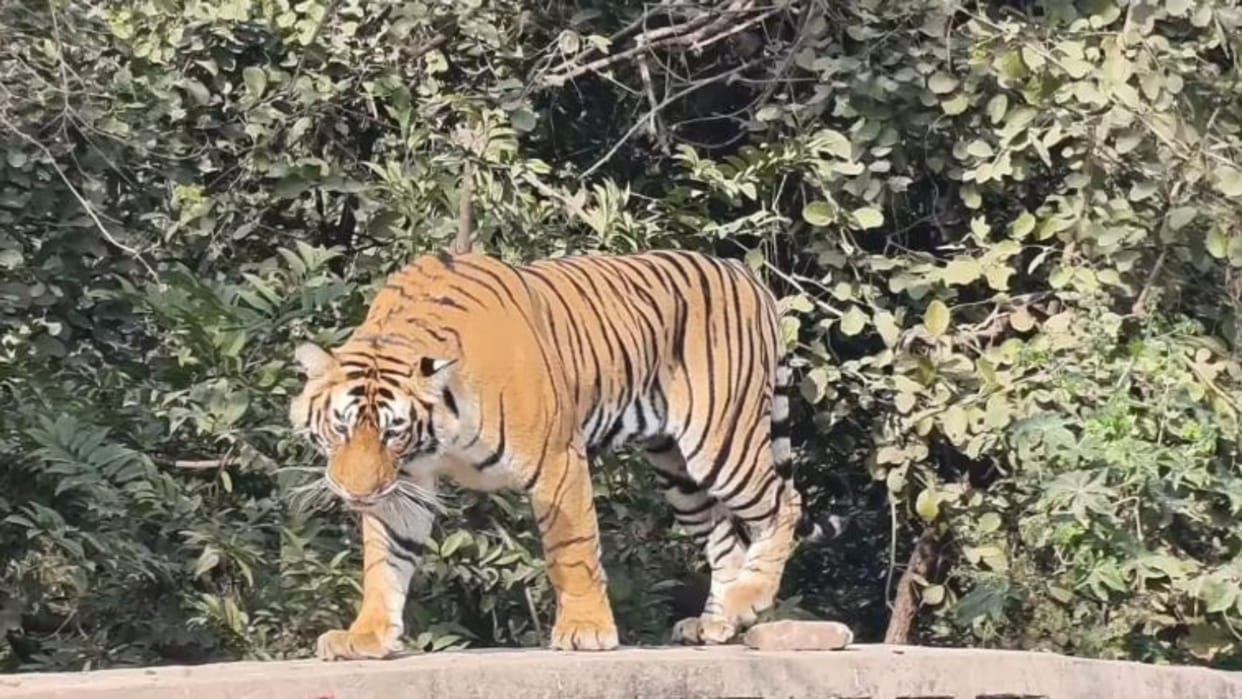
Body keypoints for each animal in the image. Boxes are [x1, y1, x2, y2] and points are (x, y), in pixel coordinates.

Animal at [289, 248, 827, 660]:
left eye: (393, 433)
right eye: (341, 428)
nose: (358, 492)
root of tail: (745, 273)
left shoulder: (557, 460)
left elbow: (573, 550)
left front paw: (586, 630)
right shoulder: (407, 483)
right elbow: (385, 562)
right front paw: (365, 637)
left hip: (722, 441)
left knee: (785, 503)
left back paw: (747, 599)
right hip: (677, 471)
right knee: (724, 538)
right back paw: (719, 622)